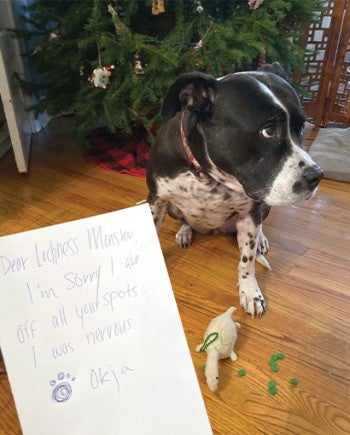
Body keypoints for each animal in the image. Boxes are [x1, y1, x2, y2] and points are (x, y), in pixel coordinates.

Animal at [146, 63, 322, 316]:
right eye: (269, 130)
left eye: (302, 127)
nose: (317, 176)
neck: (208, 177)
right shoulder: (156, 201)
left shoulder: (250, 214)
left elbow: (246, 261)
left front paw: (250, 291)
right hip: (172, 209)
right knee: (186, 220)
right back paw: (185, 231)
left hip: (263, 208)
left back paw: (261, 239)